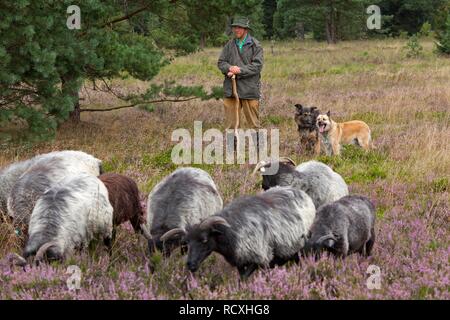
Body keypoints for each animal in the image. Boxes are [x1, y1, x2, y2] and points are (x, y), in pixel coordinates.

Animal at [174, 186, 314, 278]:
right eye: (187, 242)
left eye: (204, 240)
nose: (190, 264)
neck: (229, 232)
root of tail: (303, 194)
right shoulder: (239, 261)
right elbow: (241, 279)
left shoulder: (258, 257)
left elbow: (245, 278)